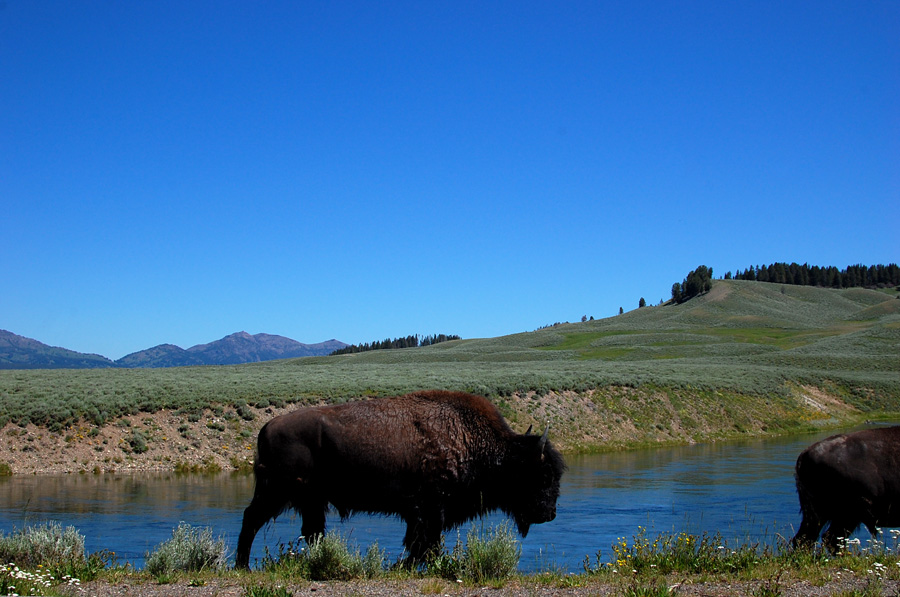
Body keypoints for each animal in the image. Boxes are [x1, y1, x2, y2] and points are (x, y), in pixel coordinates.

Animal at [236, 388, 568, 564]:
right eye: (544, 475)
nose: (550, 513)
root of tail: (266, 427)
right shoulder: (429, 510)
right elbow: (424, 544)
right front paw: (408, 565)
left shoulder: (425, 514)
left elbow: (423, 544)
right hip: (276, 492)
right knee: (251, 520)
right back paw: (243, 567)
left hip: (311, 500)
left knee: (312, 531)